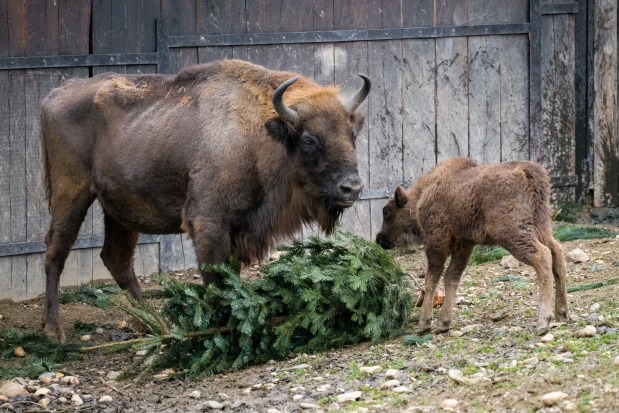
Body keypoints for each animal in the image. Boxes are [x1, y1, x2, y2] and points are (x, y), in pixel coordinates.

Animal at [41, 58, 370, 342]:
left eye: (352, 132)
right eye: (308, 140)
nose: (352, 188)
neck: (258, 131)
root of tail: (55, 95)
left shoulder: (238, 230)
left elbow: (230, 278)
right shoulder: (208, 223)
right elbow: (215, 279)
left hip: (120, 211)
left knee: (116, 259)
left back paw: (154, 324)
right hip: (71, 194)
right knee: (55, 252)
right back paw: (54, 330)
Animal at [376, 157, 568, 334]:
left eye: (387, 211)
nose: (379, 239)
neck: (422, 196)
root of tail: (526, 171)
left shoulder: (436, 242)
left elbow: (432, 279)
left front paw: (425, 324)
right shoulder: (465, 244)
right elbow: (451, 277)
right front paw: (443, 323)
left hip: (512, 232)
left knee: (542, 256)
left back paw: (543, 322)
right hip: (542, 226)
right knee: (557, 253)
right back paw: (562, 313)